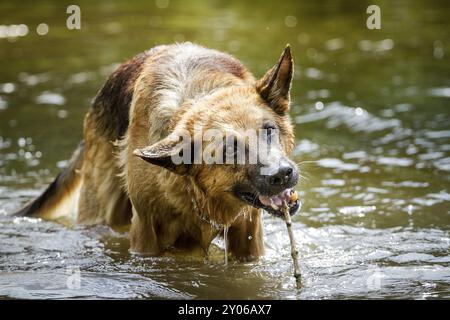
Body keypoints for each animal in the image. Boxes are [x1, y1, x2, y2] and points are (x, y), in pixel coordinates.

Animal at [15, 42, 300, 262]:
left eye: (269, 130)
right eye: (229, 149)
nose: (283, 174)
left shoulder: (249, 237)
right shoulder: (145, 237)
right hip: (100, 212)